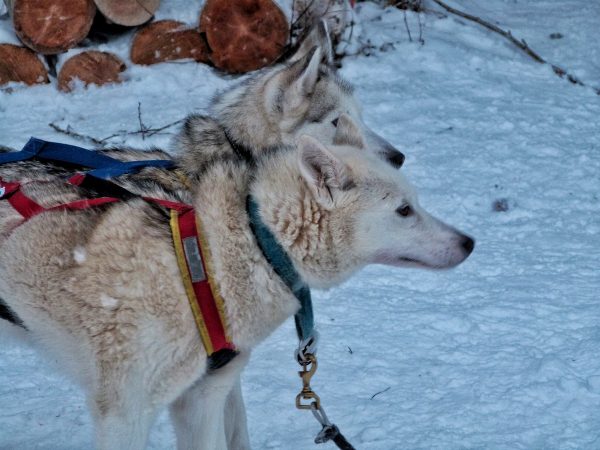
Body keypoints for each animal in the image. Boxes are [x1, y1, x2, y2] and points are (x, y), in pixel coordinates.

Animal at [0, 113, 474, 450]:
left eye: (415, 203)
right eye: (403, 211)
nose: (469, 242)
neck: (247, 236)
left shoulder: (206, 396)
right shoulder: (124, 413)